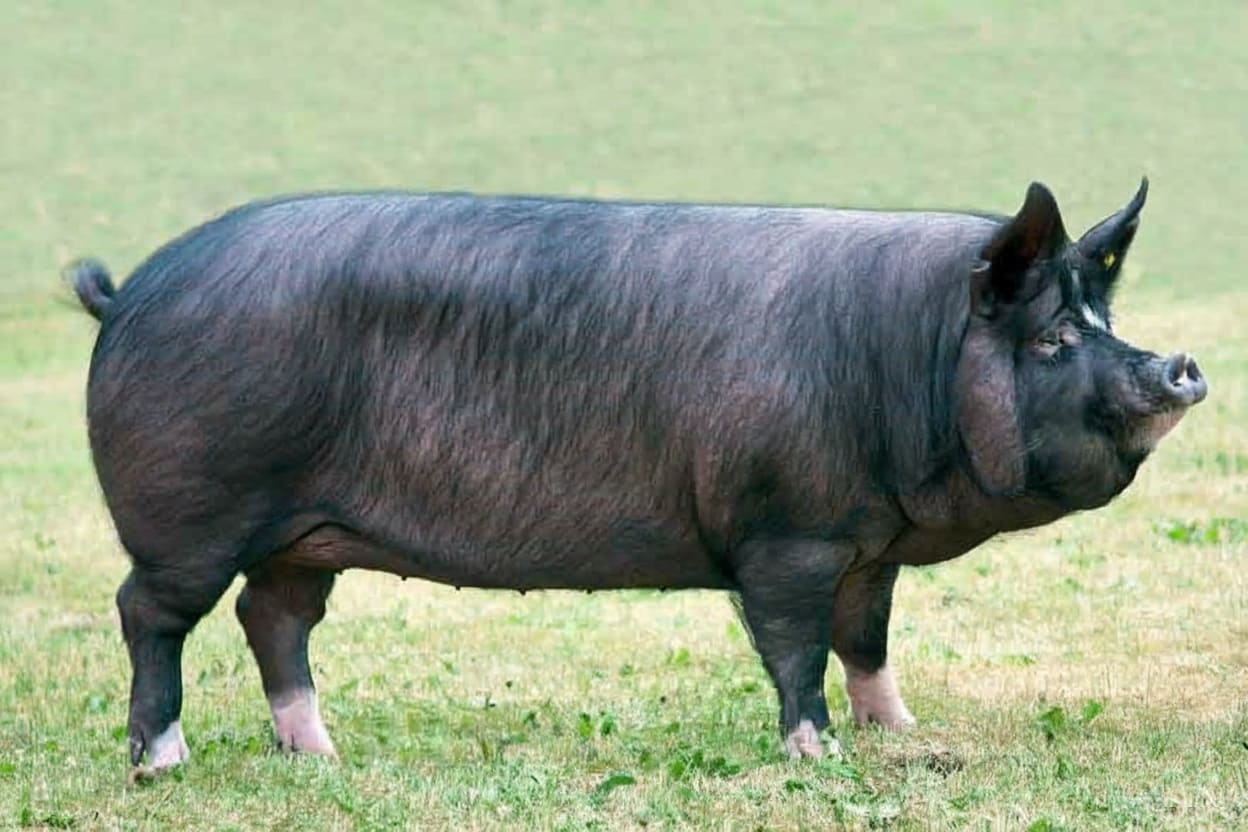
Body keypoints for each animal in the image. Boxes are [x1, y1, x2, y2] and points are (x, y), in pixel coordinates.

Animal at [68, 179, 1206, 775]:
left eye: (1104, 318)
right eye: (1053, 338)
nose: (1180, 365)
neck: (899, 353)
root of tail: (129, 292)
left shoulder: (866, 546)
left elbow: (868, 640)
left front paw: (904, 734)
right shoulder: (785, 533)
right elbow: (795, 649)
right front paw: (817, 757)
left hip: (305, 532)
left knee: (273, 617)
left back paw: (319, 754)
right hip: (192, 508)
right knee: (151, 613)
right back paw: (164, 761)